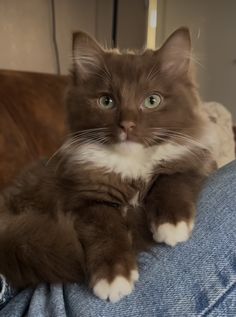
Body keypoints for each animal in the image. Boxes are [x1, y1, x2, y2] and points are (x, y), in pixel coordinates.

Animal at [0, 27, 216, 302]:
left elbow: (172, 178)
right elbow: (106, 230)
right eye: (106, 101)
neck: (131, 164)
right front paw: (113, 277)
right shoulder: (87, 198)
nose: (127, 125)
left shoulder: (191, 160)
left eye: (152, 100)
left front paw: (172, 224)